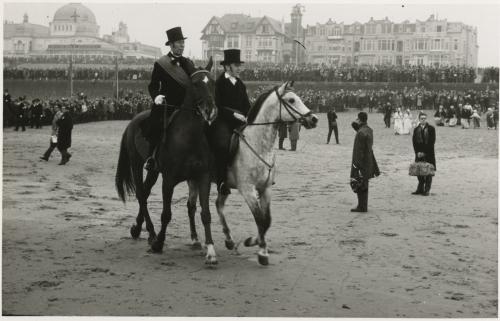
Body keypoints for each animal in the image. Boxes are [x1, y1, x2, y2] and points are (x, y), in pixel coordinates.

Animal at [116, 58, 220, 264]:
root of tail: (134, 120)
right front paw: (159, 244)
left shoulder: (202, 177)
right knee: (141, 194)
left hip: (154, 171)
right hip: (137, 164)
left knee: (145, 192)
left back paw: (138, 228)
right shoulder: (169, 179)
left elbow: (205, 214)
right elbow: (166, 214)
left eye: (213, 82)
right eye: (195, 84)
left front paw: (211, 251)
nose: (210, 111)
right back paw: (151, 233)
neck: (189, 137)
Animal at [186, 80, 318, 264]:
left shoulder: (265, 188)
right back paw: (195, 239)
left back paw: (229, 239)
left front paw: (253, 241)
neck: (259, 145)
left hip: (223, 186)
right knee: (191, 207)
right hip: (194, 180)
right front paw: (262, 252)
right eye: (291, 100)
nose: (314, 119)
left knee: (218, 205)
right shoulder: (248, 190)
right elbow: (260, 219)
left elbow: (267, 220)